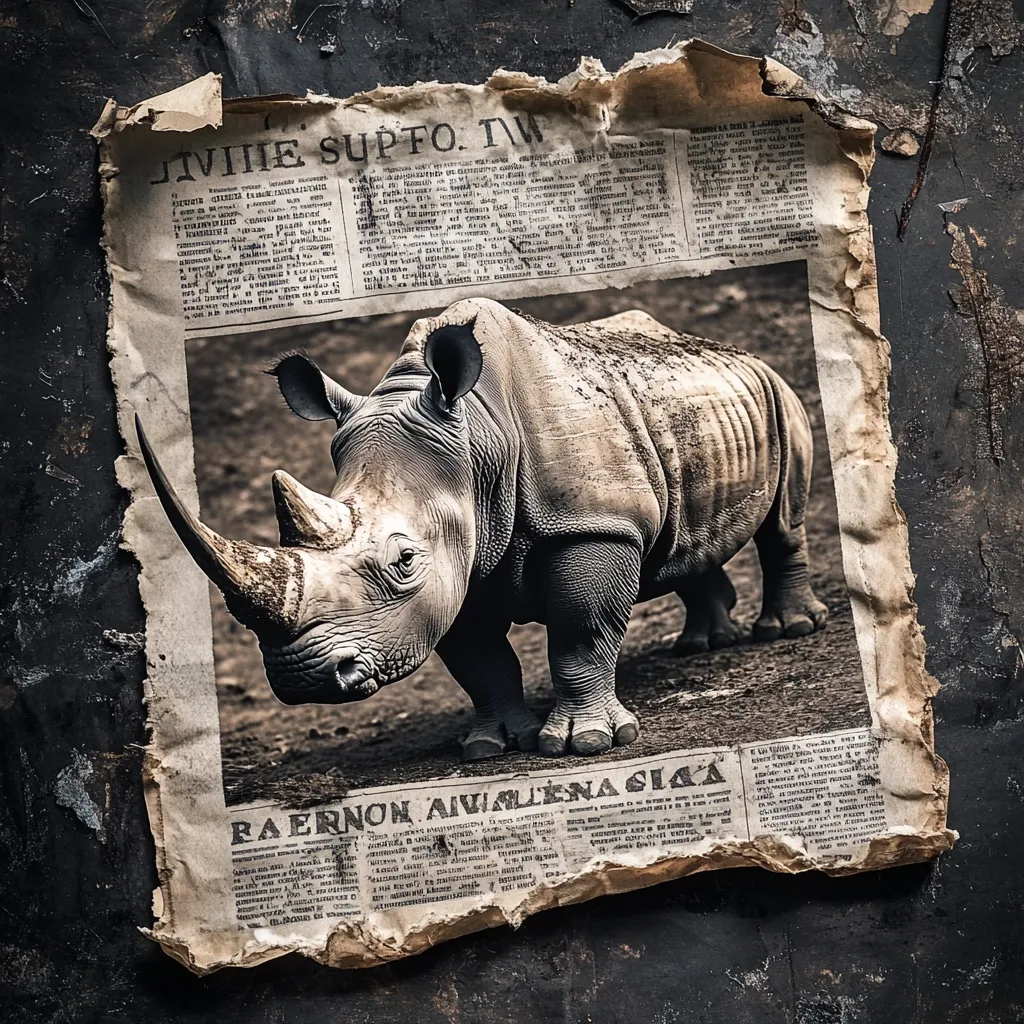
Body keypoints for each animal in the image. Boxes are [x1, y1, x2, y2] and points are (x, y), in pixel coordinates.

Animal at [136, 297, 827, 760]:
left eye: (403, 561)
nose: (305, 678)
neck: (476, 437)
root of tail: (722, 346)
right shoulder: (458, 561)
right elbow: (481, 659)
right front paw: (491, 747)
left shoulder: (591, 526)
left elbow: (580, 629)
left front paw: (584, 744)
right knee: (683, 539)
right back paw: (702, 645)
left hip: (775, 389)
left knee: (783, 522)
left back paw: (787, 631)